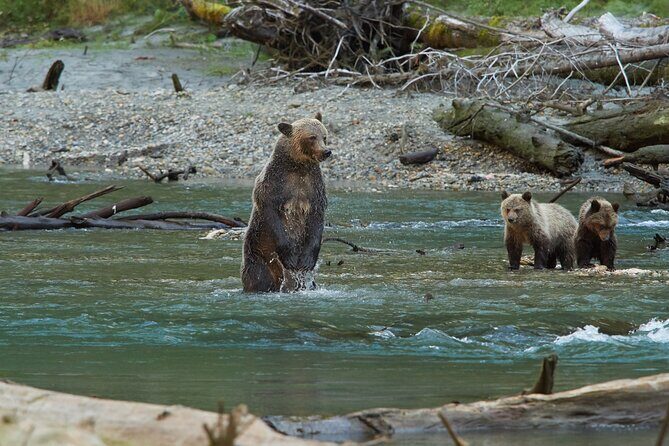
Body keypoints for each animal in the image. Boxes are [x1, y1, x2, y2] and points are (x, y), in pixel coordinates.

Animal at [241, 112, 331, 293]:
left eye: (324, 136)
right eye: (312, 137)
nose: (326, 151)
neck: (298, 167)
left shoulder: (313, 188)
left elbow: (316, 221)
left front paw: (307, 261)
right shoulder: (274, 186)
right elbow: (272, 216)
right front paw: (290, 257)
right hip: (257, 252)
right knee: (259, 277)